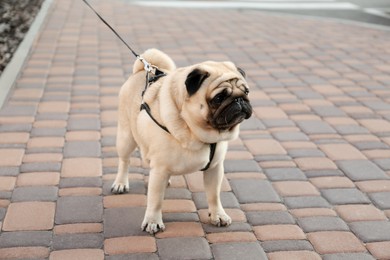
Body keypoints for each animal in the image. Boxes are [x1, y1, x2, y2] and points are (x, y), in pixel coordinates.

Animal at [112, 48, 253, 234]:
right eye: (218, 98)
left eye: (246, 92)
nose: (239, 100)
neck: (196, 133)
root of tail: (142, 70)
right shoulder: (159, 169)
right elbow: (155, 200)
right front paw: (153, 221)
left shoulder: (215, 168)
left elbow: (214, 195)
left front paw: (218, 215)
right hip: (126, 138)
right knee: (124, 161)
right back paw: (120, 183)